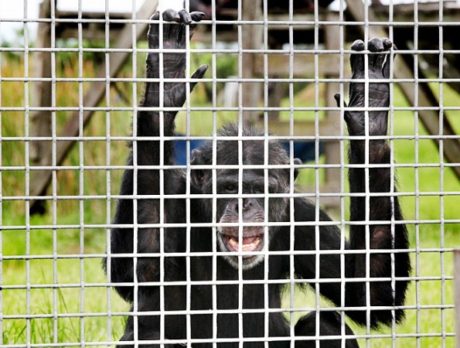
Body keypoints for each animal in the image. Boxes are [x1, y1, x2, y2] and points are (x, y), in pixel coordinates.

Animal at [107, 8, 410, 348]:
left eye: (261, 189)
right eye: (229, 187)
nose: (244, 204)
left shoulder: (304, 219)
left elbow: (368, 294)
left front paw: (370, 109)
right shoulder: (174, 198)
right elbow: (141, 270)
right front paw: (163, 83)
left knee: (326, 326)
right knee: (148, 335)